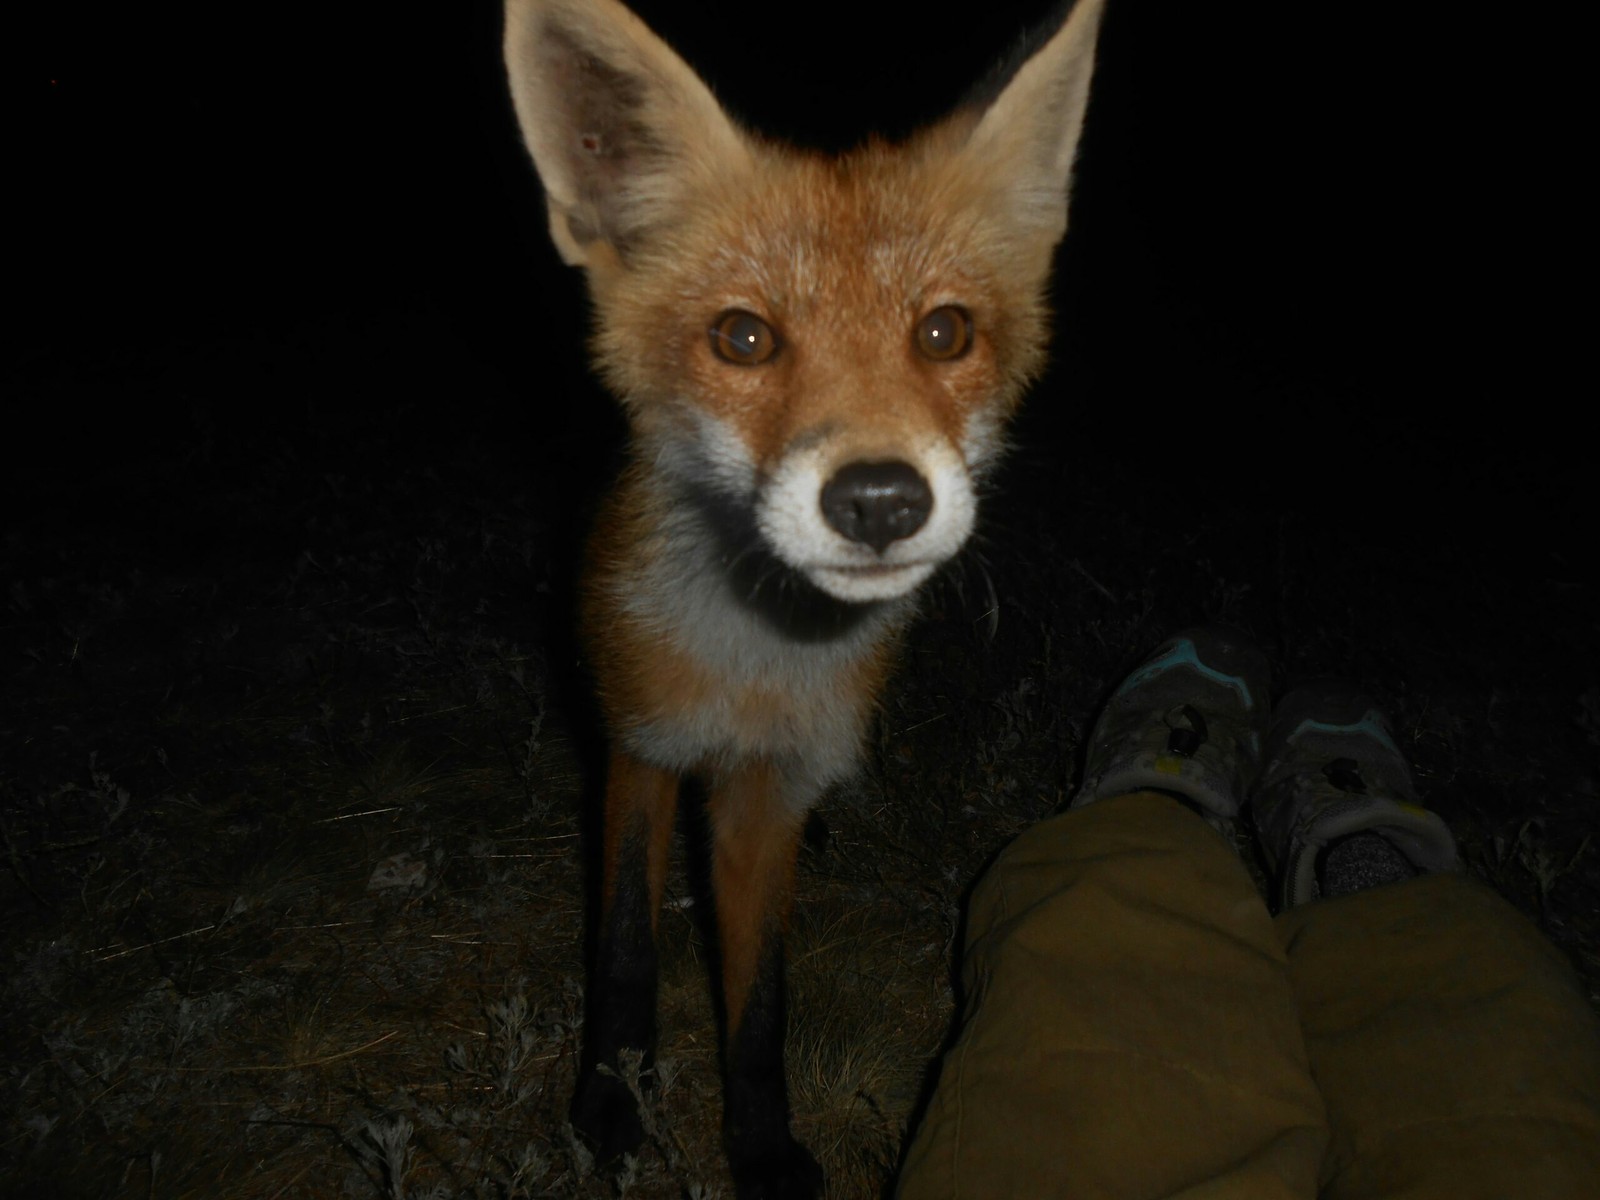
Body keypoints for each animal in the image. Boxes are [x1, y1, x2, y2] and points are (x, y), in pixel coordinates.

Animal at [505, 2, 1107, 1196]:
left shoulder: (768, 795)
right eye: (743, 337)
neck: (757, 668)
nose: (879, 500)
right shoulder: (642, 745)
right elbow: (626, 948)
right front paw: (612, 1101)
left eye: (943, 332)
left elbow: (761, 1007)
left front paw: (763, 1148)